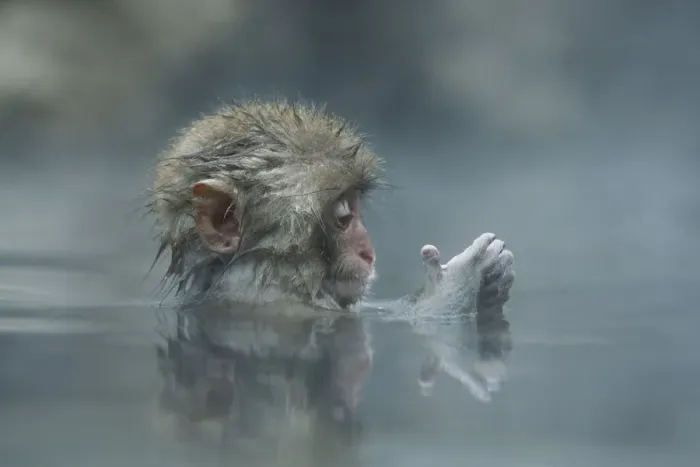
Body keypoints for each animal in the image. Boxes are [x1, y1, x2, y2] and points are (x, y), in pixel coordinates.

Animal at [148, 98, 515, 464]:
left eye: (354, 206)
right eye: (343, 217)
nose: (368, 252)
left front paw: (491, 285)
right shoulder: (284, 308)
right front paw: (454, 286)